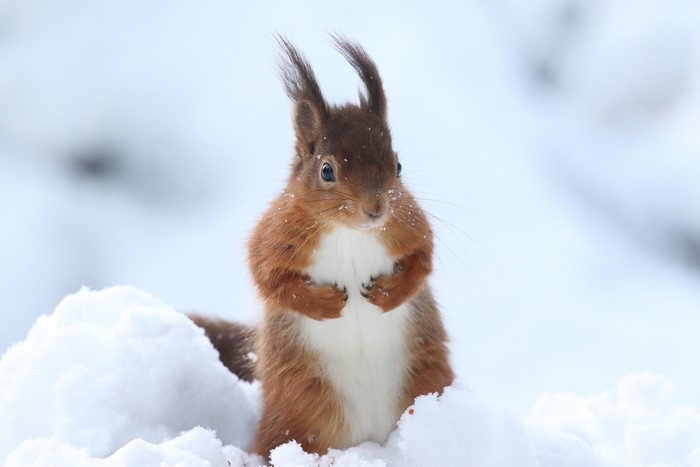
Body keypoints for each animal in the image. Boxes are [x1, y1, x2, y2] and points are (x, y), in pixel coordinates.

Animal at [193, 35, 454, 458]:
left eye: (397, 166)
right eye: (327, 171)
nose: (376, 209)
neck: (350, 232)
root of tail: (369, 439)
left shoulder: (408, 223)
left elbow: (422, 258)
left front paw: (388, 294)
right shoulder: (275, 232)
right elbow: (267, 274)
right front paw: (323, 304)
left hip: (427, 382)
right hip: (297, 413)